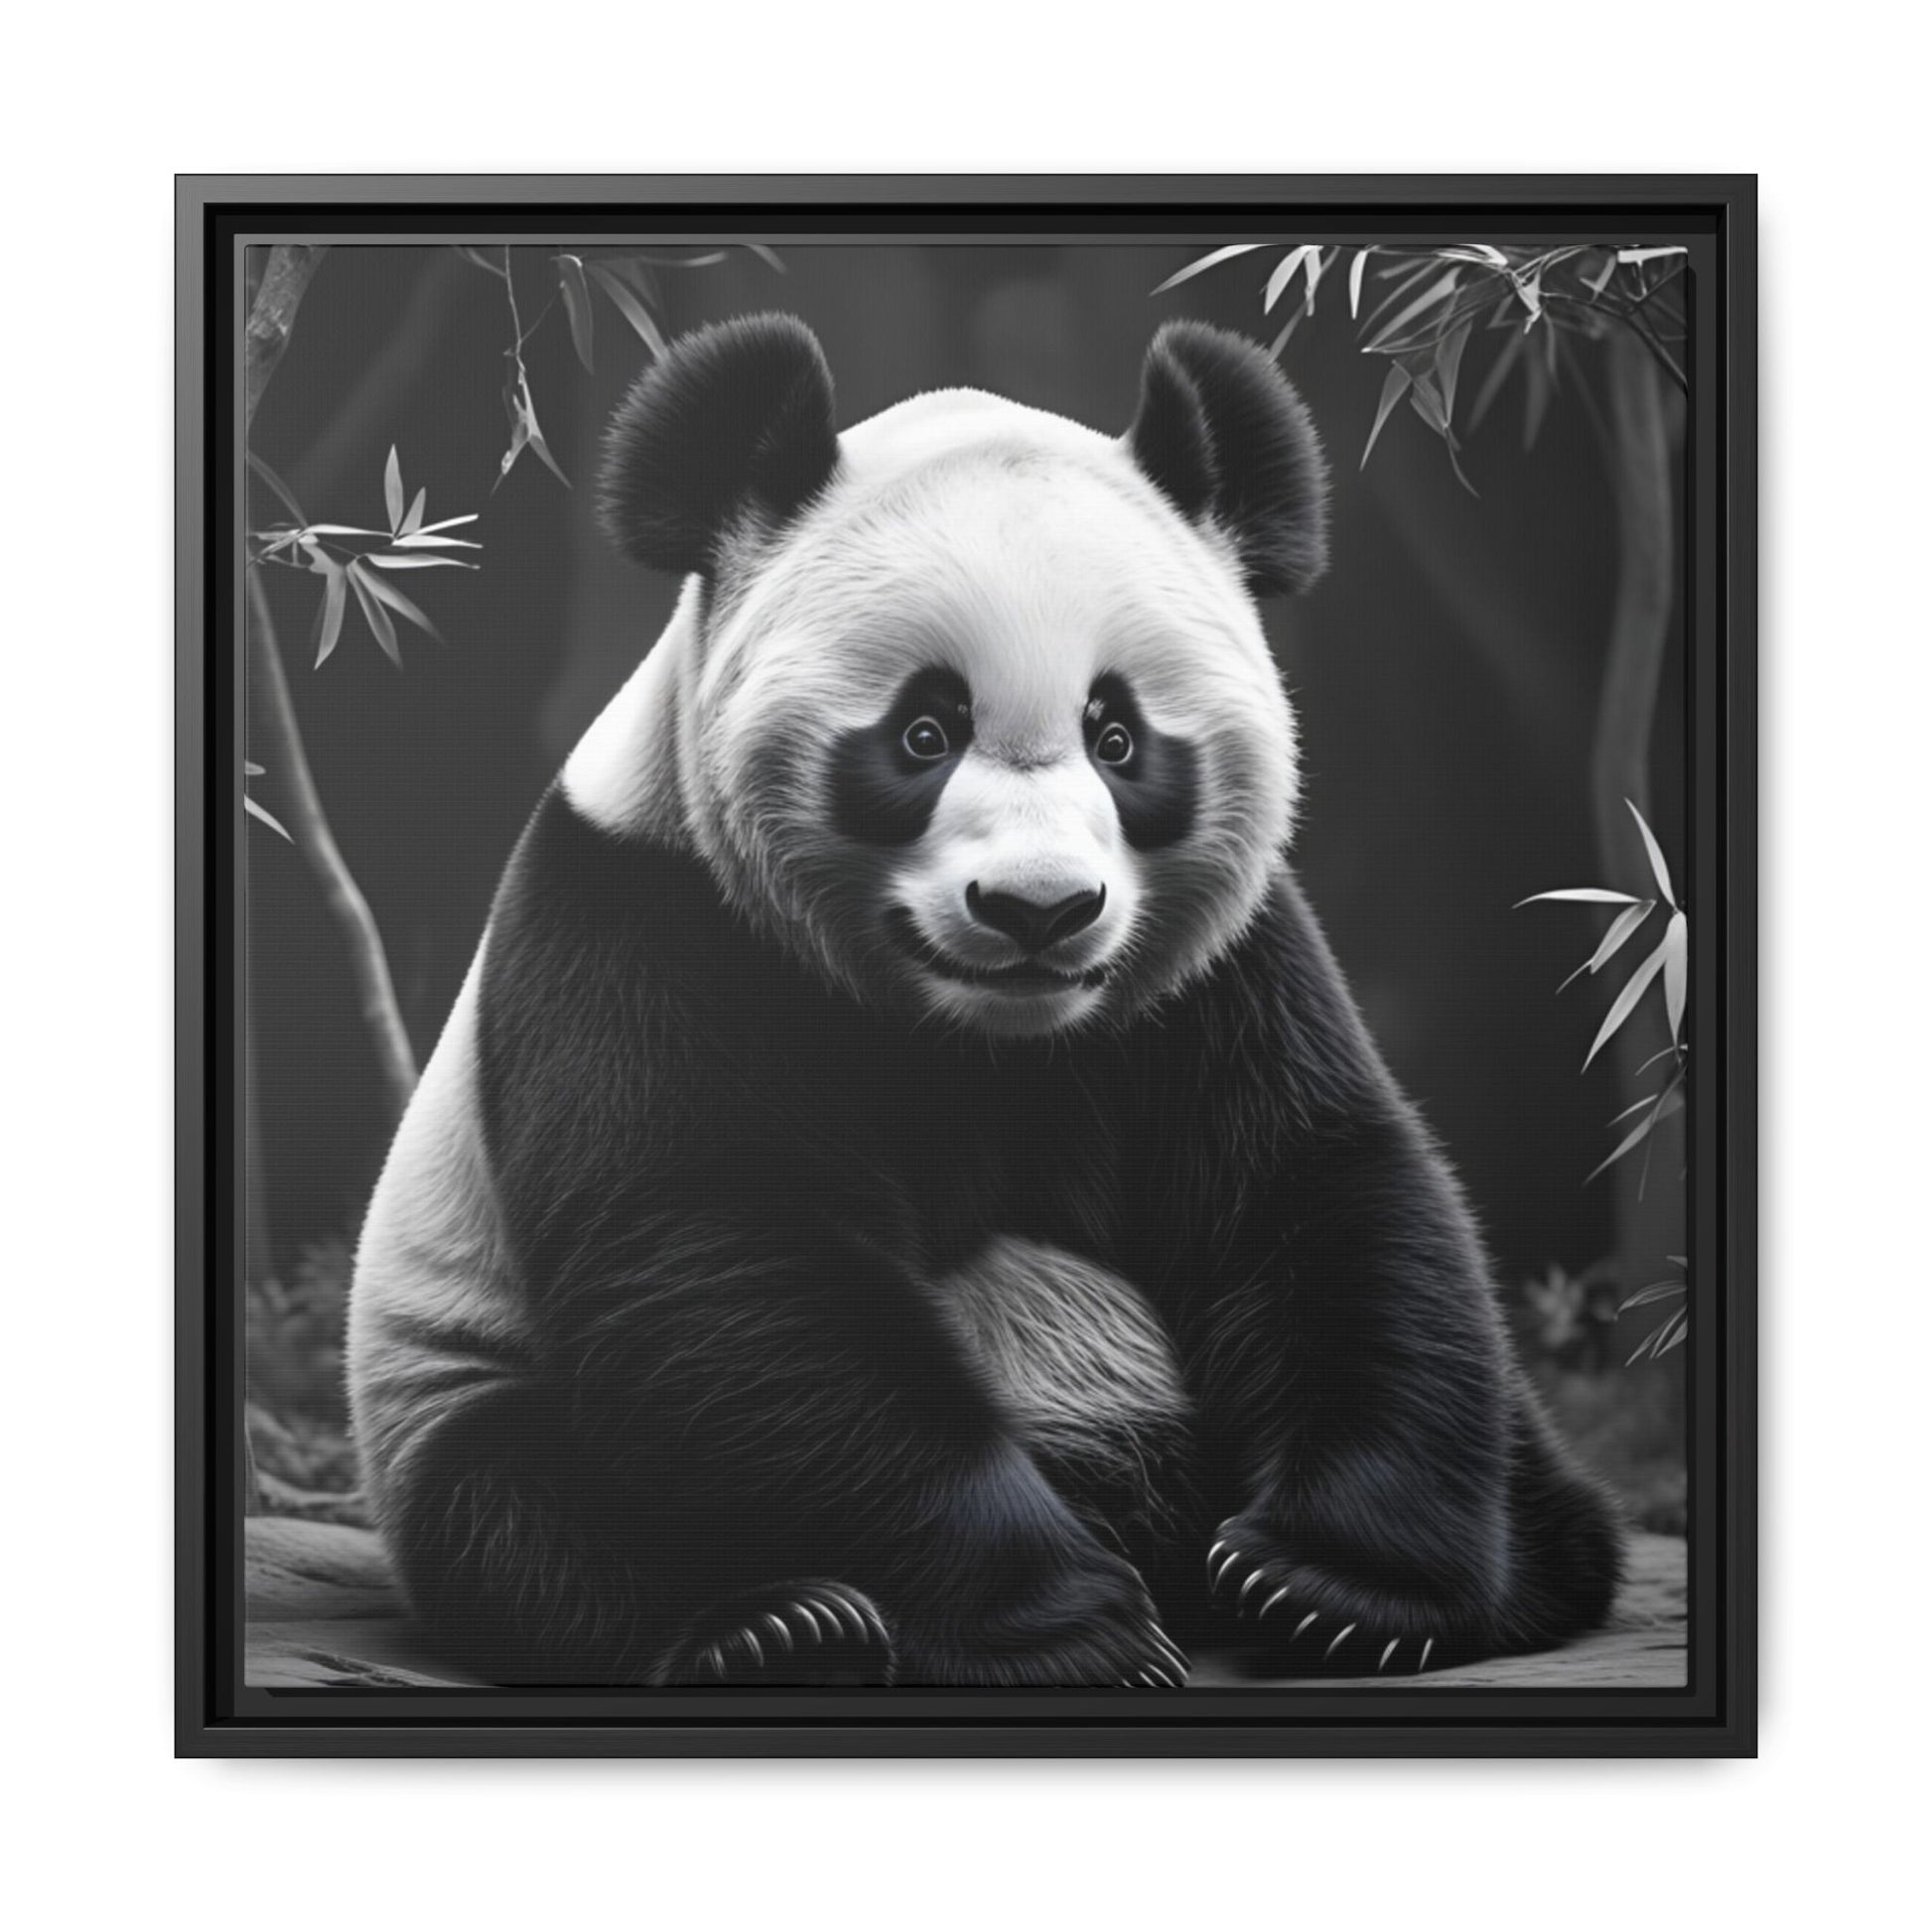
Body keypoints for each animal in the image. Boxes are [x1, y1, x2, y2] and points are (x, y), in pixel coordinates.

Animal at [347, 312, 1622, 1687]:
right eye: (923, 731)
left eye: (1117, 736)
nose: (1037, 910)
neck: (980, 1039)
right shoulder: (649, 922)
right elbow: (723, 1253)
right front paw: (1069, 1623)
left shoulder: (1218, 971)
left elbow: (1313, 1187)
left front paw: (1330, 1585)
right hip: (450, 1380)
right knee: (531, 1512)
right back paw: (777, 1627)